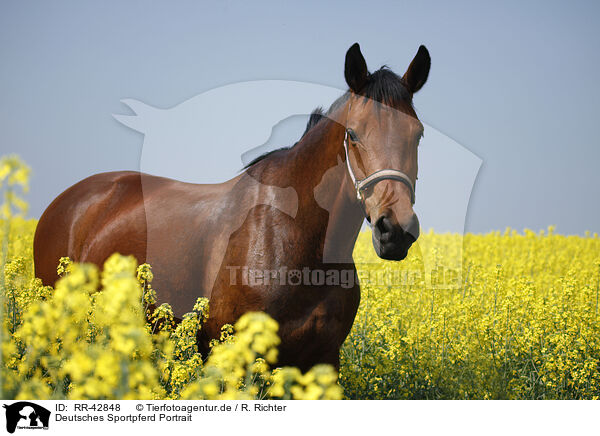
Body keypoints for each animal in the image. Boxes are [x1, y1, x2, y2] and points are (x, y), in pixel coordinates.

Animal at [34, 43, 432, 372]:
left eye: (418, 134)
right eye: (353, 134)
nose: (394, 230)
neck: (296, 238)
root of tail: (69, 200)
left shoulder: (322, 359)